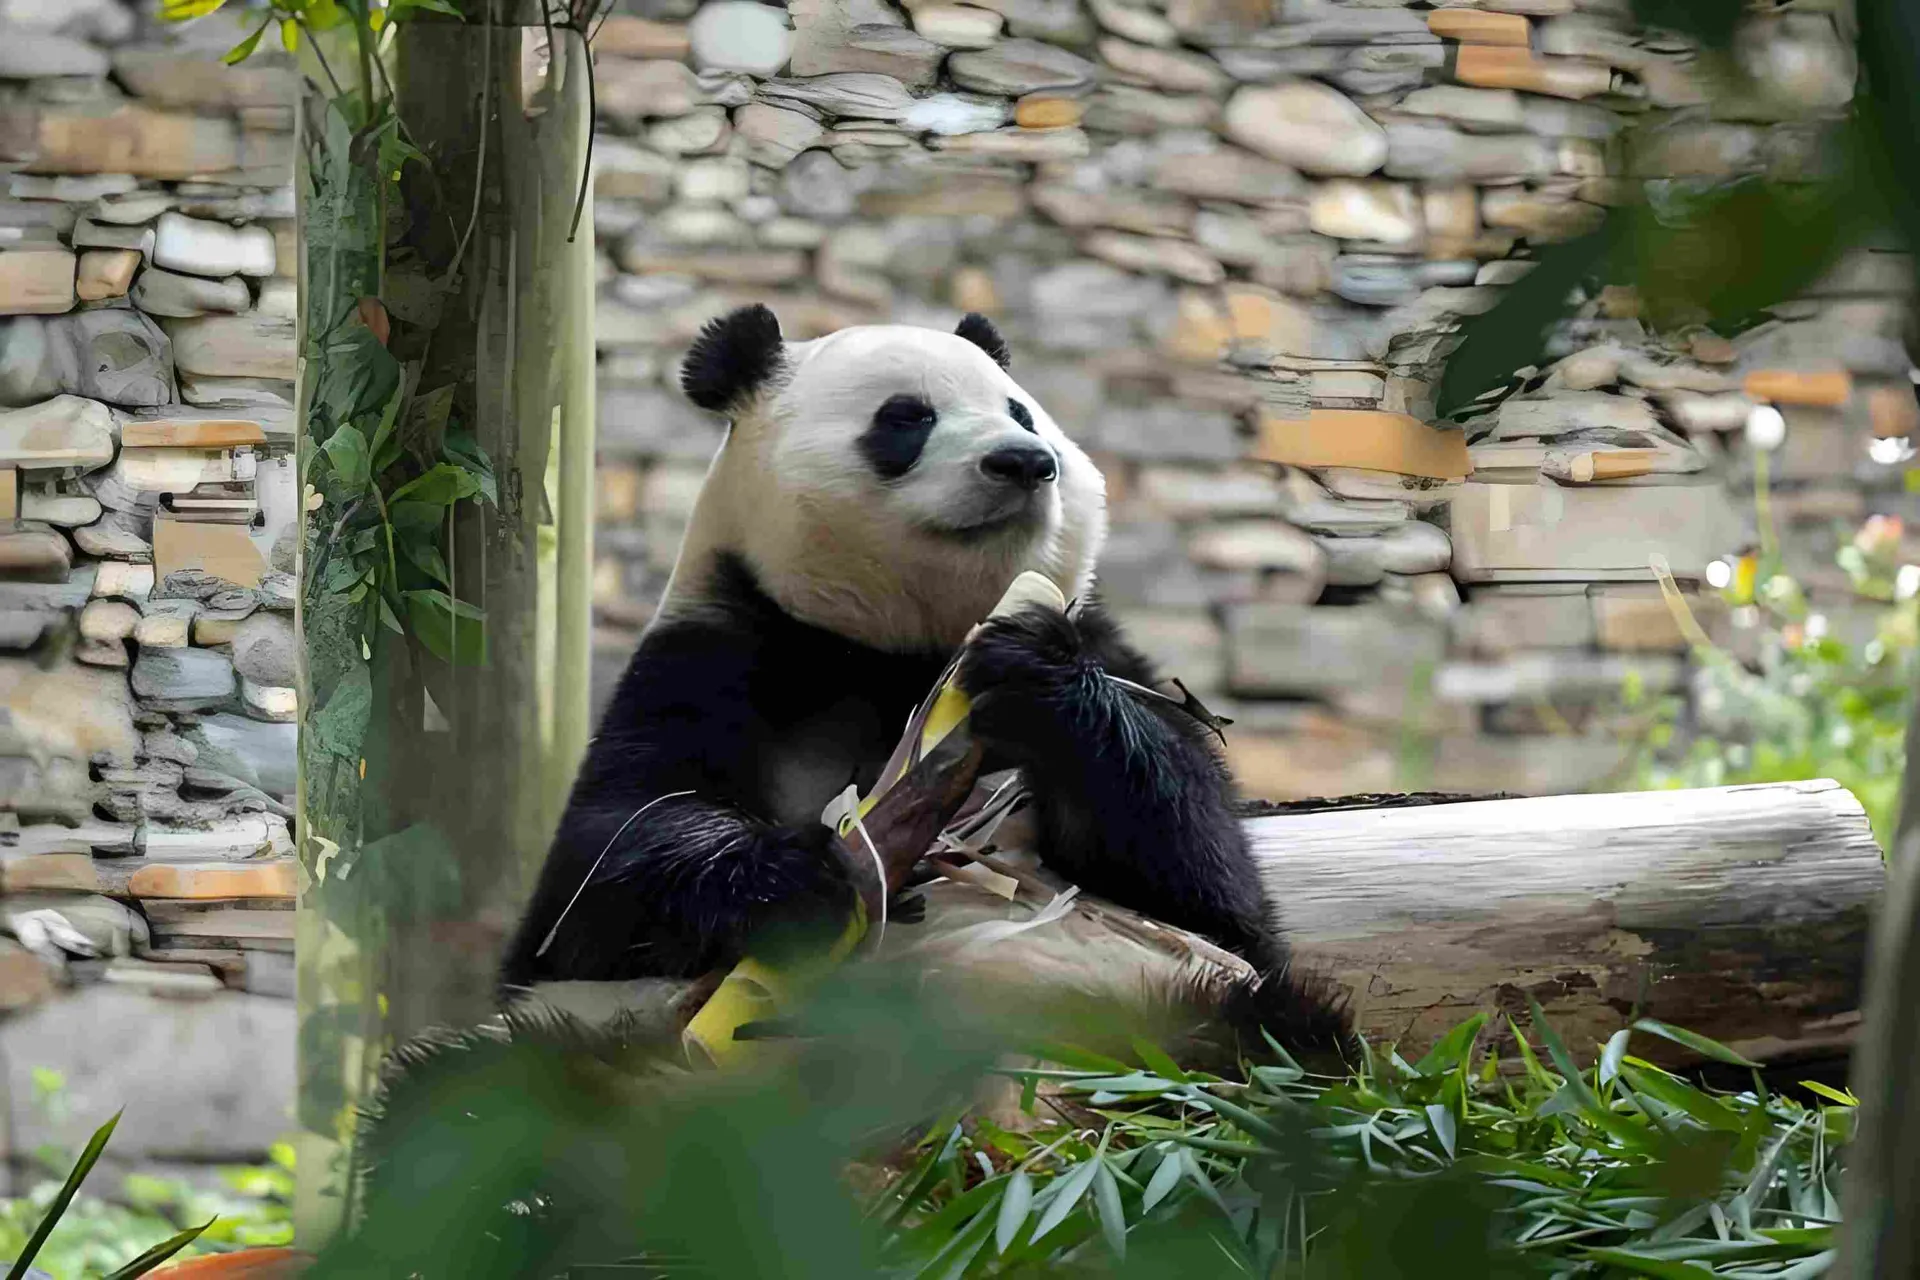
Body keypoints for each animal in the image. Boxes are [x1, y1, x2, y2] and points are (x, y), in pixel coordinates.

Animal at [494, 303, 1351, 1063]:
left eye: (1021, 412)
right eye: (906, 418)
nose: (1022, 461)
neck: (898, 647)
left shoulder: (1104, 648)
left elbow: (1214, 888)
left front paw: (1035, 683)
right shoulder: (720, 649)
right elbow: (591, 882)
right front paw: (800, 878)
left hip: (1159, 1001)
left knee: (1275, 1035)